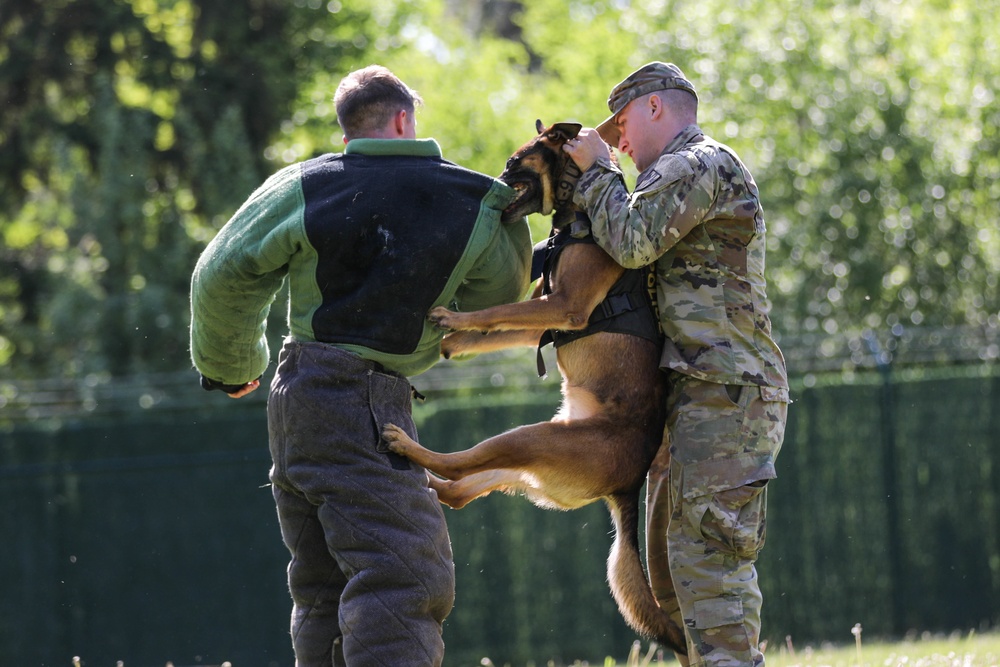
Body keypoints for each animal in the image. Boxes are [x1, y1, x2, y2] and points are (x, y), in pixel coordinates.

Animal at [382, 120, 688, 656]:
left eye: (513, 164)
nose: (492, 184)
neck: (579, 209)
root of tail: (628, 488)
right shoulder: (544, 315)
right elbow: (496, 328)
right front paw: (450, 342)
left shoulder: (562, 306)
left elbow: (495, 312)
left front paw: (452, 320)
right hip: (526, 462)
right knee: (460, 491)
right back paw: (429, 483)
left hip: (529, 439)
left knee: (460, 464)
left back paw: (407, 447)